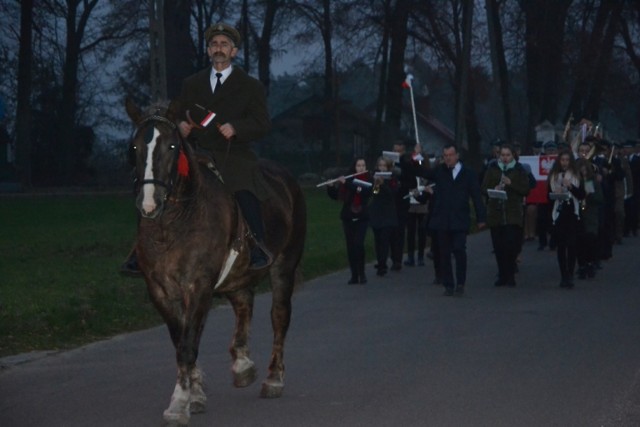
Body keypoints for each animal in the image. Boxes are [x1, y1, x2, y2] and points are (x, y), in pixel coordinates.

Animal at [126, 98, 306, 426]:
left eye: (172, 146)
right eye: (134, 147)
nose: (149, 203)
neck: (173, 225)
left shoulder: (199, 286)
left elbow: (188, 344)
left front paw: (179, 402)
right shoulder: (160, 290)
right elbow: (181, 340)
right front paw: (194, 393)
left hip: (284, 266)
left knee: (279, 316)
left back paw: (273, 379)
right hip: (237, 276)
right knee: (244, 303)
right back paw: (243, 364)